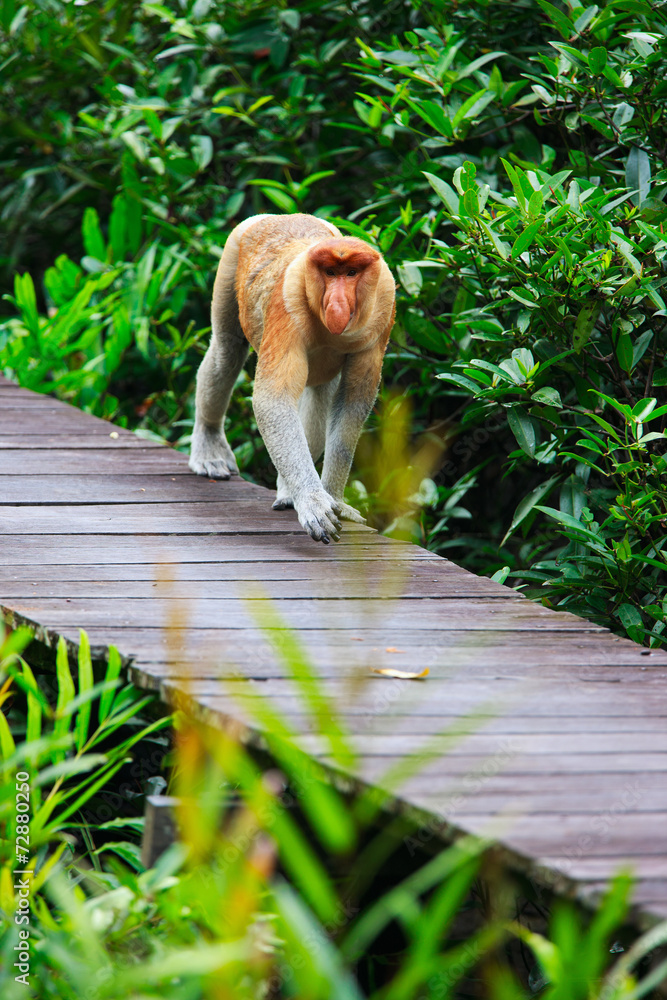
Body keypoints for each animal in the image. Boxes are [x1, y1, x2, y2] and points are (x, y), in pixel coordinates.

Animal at [189, 213, 396, 544]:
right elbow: (274, 399)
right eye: (330, 273)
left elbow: (352, 404)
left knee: (320, 392)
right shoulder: (287, 305)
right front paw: (314, 504)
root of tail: (275, 217)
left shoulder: (382, 311)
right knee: (227, 350)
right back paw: (209, 452)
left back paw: (288, 492)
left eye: (351, 273)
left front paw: (335, 501)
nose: (337, 303)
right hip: (233, 251)